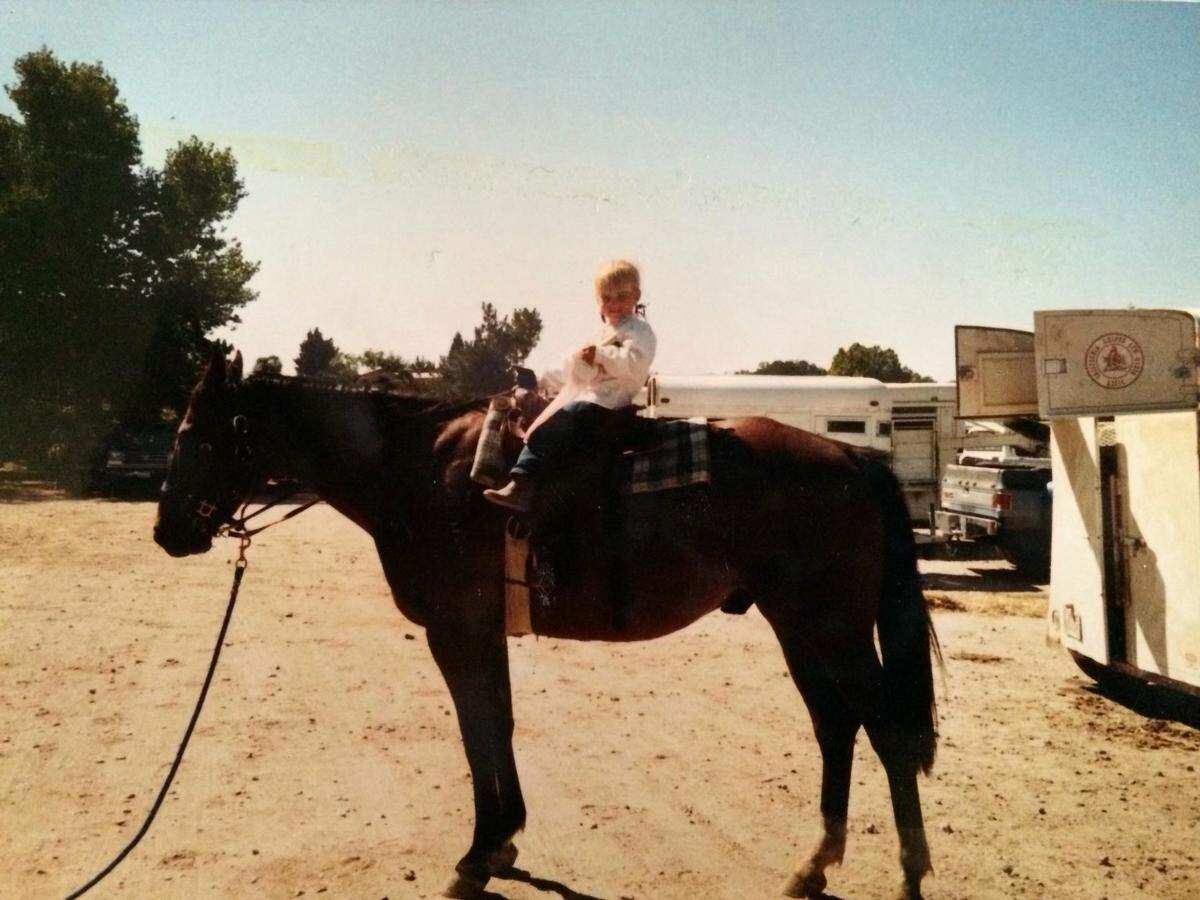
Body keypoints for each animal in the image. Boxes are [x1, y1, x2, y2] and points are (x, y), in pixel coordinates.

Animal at [153, 349, 941, 899]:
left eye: (197, 435)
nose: (166, 532)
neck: (421, 469)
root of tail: (852, 457)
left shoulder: (455, 630)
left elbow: (477, 730)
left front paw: (476, 855)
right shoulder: (481, 631)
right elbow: (496, 724)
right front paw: (503, 843)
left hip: (832, 629)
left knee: (887, 732)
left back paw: (909, 872)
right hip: (799, 627)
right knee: (836, 727)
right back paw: (813, 866)